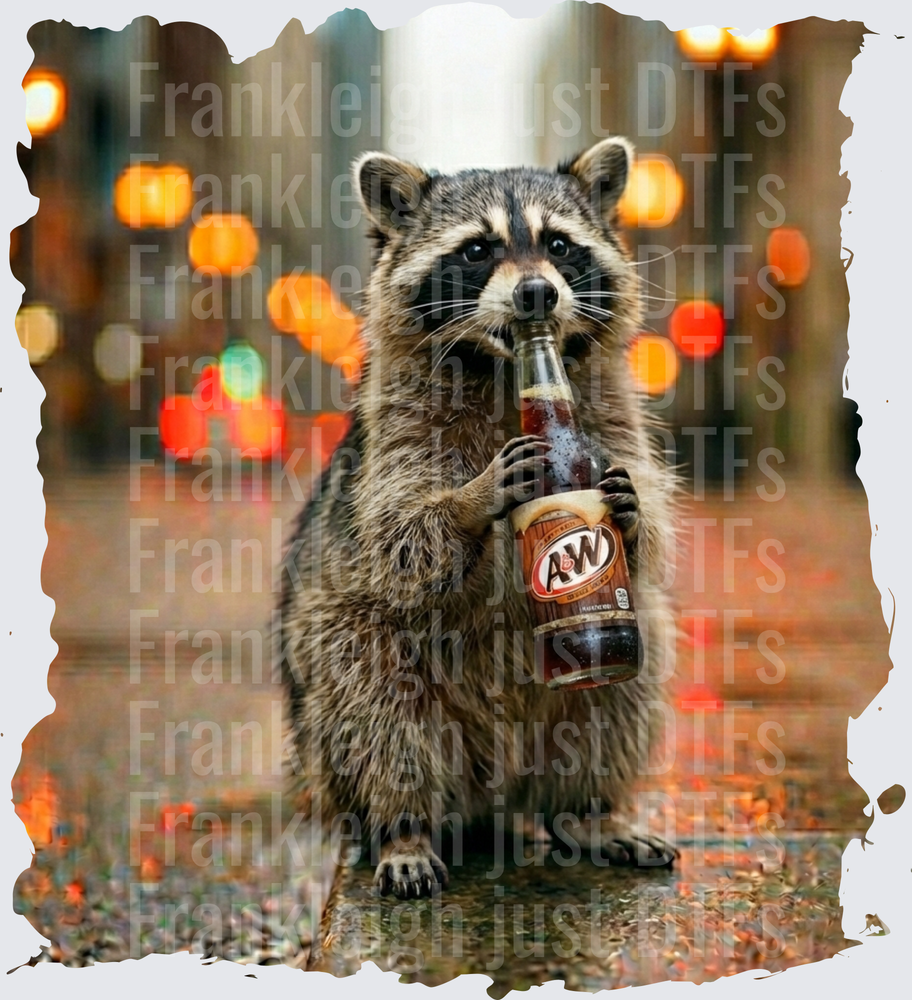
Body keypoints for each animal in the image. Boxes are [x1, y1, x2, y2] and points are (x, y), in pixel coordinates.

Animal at [279, 137, 677, 899]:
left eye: (558, 244)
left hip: (608, 671)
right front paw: (470, 500)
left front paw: (631, 511)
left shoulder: (612, 415)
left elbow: (650, 534)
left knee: (621, 696)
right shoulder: (395, 435)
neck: (500, 368)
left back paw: (586, 810)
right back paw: (403, 825)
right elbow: (400, 539)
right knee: (374, 697)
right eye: (476, 250)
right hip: (340, 681)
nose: (536, 294)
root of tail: (490, 791)